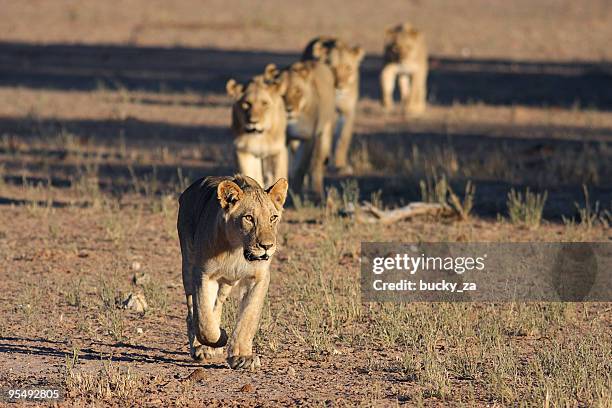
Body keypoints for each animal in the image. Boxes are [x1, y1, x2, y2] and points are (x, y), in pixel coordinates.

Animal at [178, 174, 288, 372]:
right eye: (249, 218)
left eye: (273, 218)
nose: (267, 246)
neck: (237, 251)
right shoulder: (203, 274)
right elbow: (203, 320)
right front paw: (220, 336)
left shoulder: (259, 278)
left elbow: (248, 317)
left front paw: (242, 357)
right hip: (188, 267)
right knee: (193, 312)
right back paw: (201, 347)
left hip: (226, 283)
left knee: (217, 305)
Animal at [302, 35, 364, 175]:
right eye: (332, 68)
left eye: (348, 68)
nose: (340, 87)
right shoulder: (326, 113)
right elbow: (326, 142)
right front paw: (325, 161)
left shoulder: (348, 111)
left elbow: (343, 139)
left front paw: (340, 165)